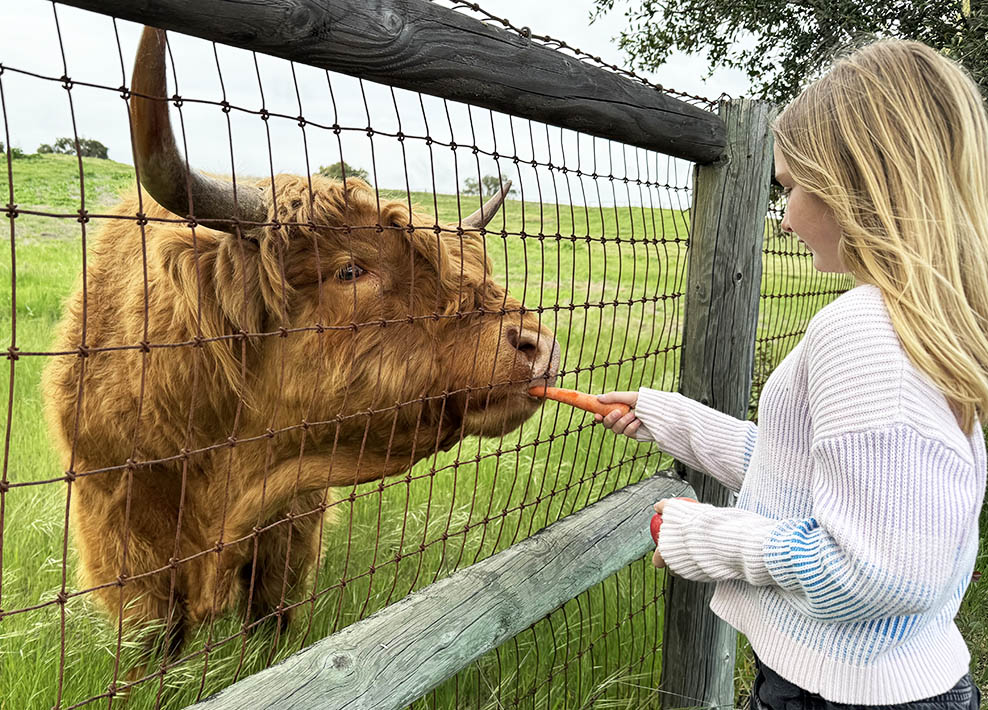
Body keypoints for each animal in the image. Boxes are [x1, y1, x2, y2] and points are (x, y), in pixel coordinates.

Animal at [42, 27, 559, 657]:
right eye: (349, 271)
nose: (538, 344)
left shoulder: (289, 529)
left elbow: (271, 626)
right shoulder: (124, 541)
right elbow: (155, 644)